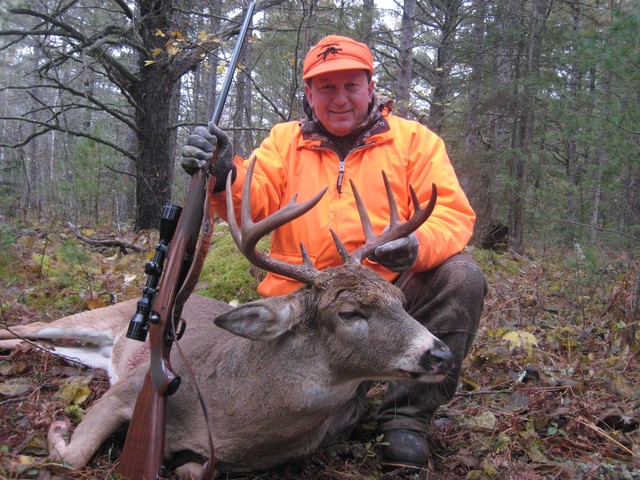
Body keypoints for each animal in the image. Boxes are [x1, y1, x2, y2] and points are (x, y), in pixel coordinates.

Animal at [0, 157, 451, 479]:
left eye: (399, 299)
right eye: (350, 313)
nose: (441, 354)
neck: (232, 415)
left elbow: (194, 468)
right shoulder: (126, 390)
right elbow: (73, 458)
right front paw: (57, 429)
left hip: (90, 353)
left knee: (45, 343)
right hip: (101, 314)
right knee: (28, 328)